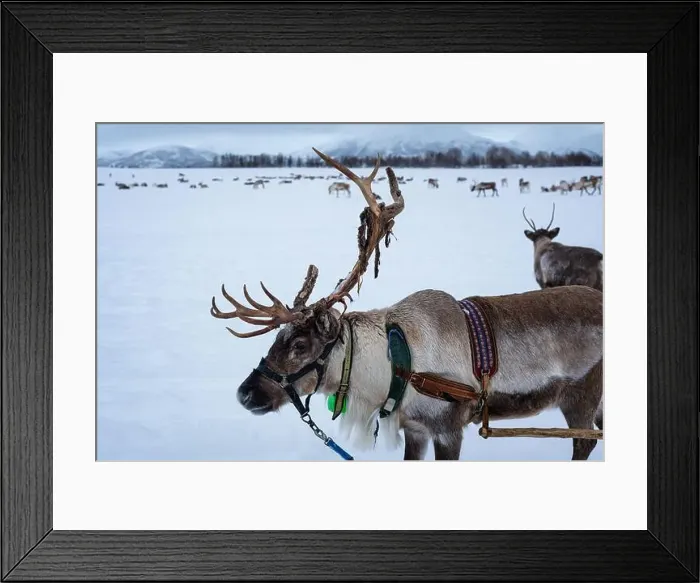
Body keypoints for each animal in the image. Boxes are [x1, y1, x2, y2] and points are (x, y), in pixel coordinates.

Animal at [210, 149, 603, 462]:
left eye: (300, 345)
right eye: (276, 338)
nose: (245, 394)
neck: (393, 365)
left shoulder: (448, 428)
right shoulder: (415, 429)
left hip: (581, 397)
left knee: (585, 443)